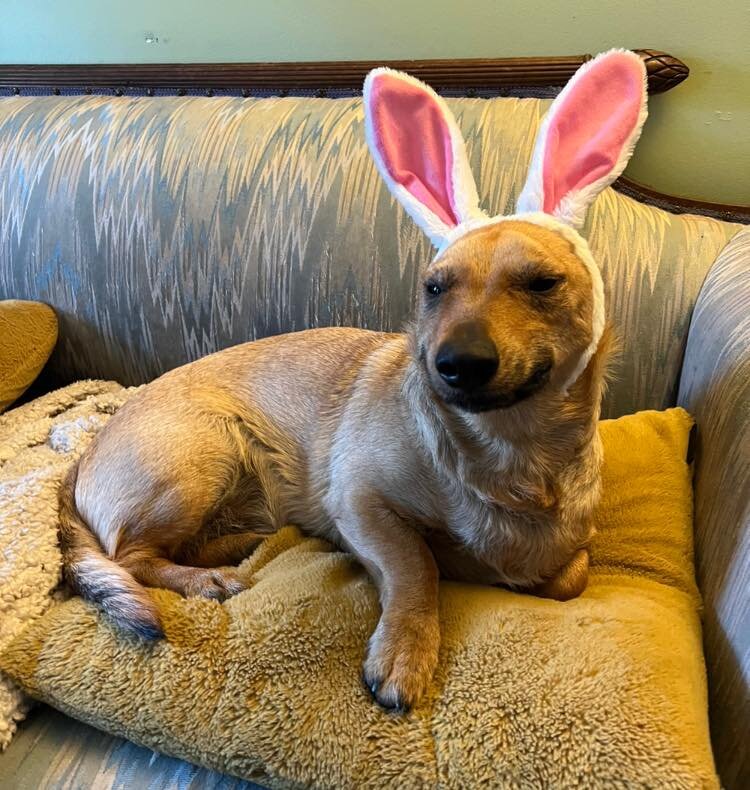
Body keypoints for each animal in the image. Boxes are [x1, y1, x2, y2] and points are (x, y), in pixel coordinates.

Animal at [58, 52, 648, 716]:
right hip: (201, 457)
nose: (455, 362)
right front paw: (406, 650)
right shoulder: (364, 504)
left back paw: (233, 546)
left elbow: (570, 575)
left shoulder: (571, 550)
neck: (507, 450)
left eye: (542, 284)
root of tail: (79, 465)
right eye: (434, 289)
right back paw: (201, 577)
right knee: (131, 557)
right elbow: (417, 565)